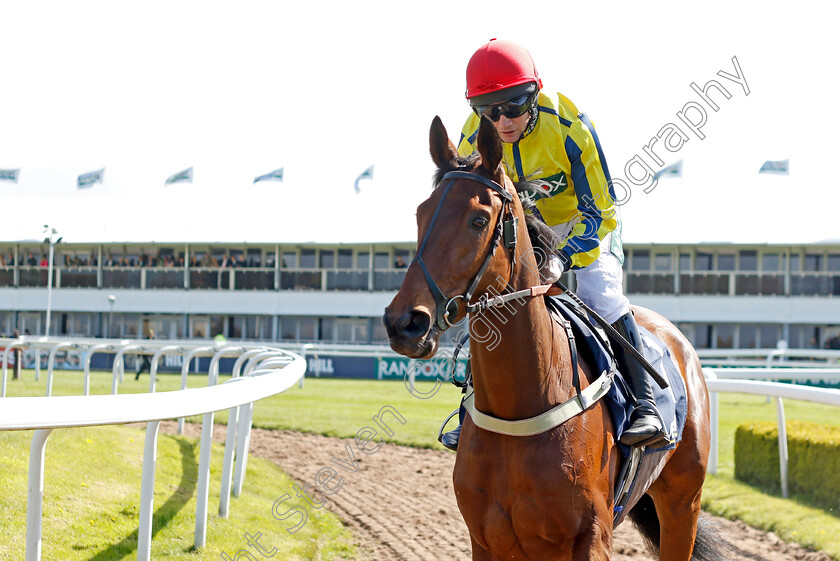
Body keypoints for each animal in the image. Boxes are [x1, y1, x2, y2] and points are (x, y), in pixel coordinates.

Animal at [384, 115, 720, 560]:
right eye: (421, 214)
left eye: (478, 219)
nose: (404, 322)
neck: (523, 405)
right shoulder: (485, 540)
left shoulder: (592, 537)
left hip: (683, 503)